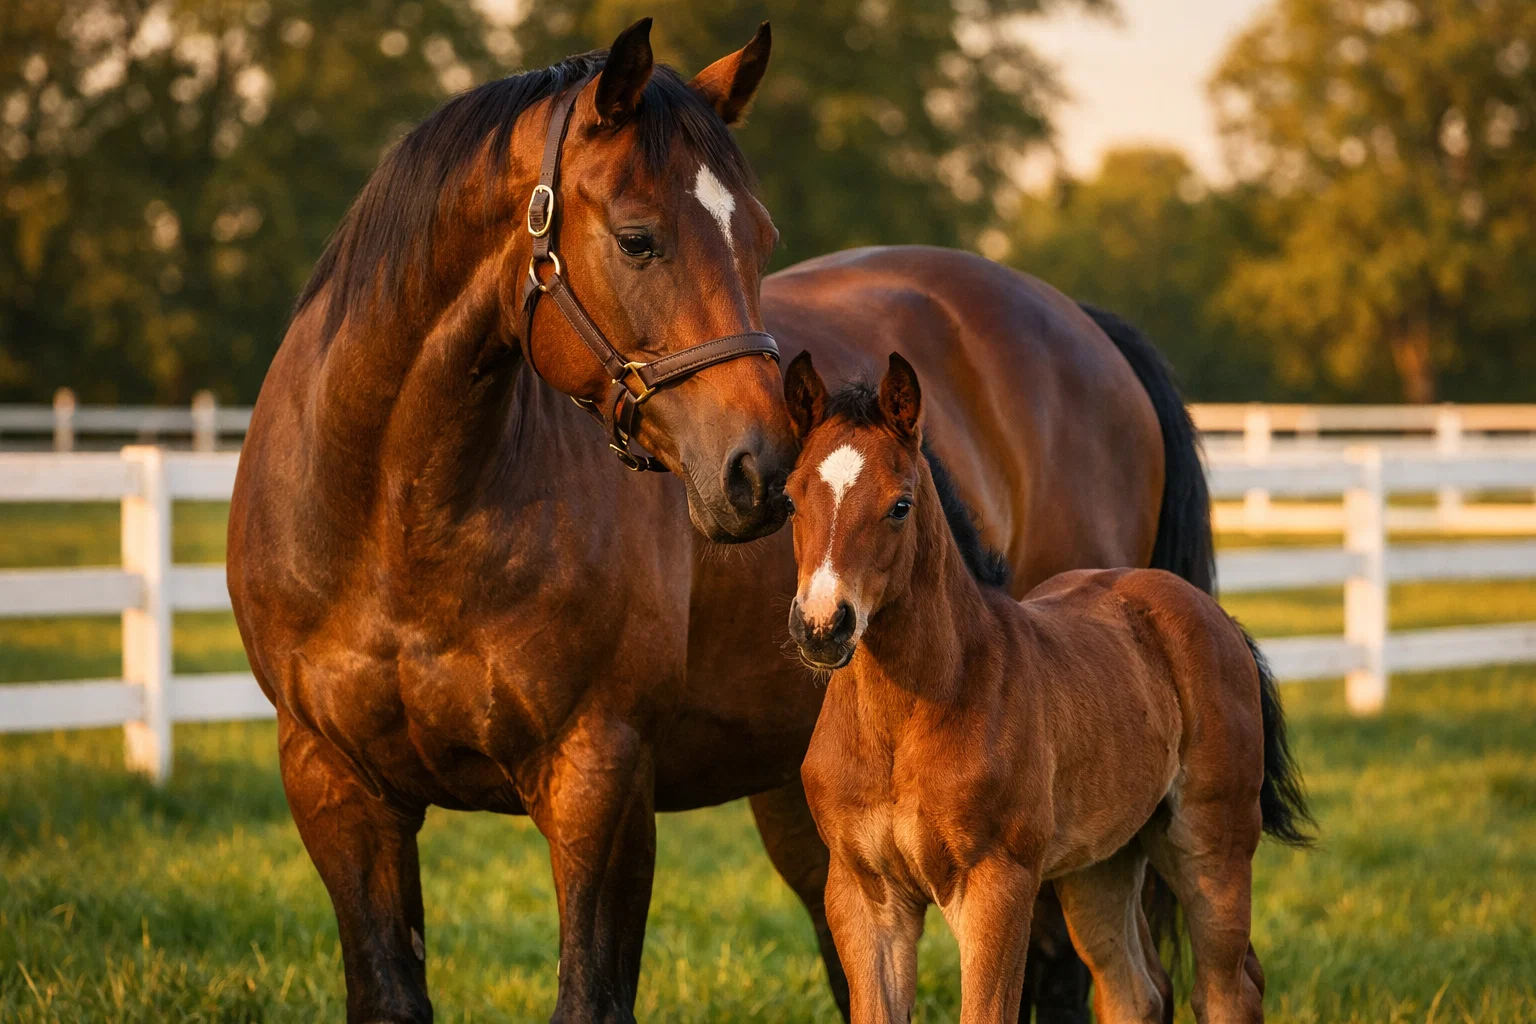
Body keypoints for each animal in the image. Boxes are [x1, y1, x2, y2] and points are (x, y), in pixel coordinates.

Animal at [227, 18, 1217, 1022]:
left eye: (761, 238)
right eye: (636, 238)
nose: (767, 471)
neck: (399, 519)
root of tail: (1080, 323)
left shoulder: (600, 779)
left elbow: (590, 994)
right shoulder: (336, 786)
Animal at [781, 352, 1313, 1024]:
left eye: (900, 505)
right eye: (790, 500)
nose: (824, 625)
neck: (904, 720)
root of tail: (1212, 612)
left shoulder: (998, 884)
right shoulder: (864, 894)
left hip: (1210, 840)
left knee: (1226, 989)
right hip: (1102, 862)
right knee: (1134, 991)